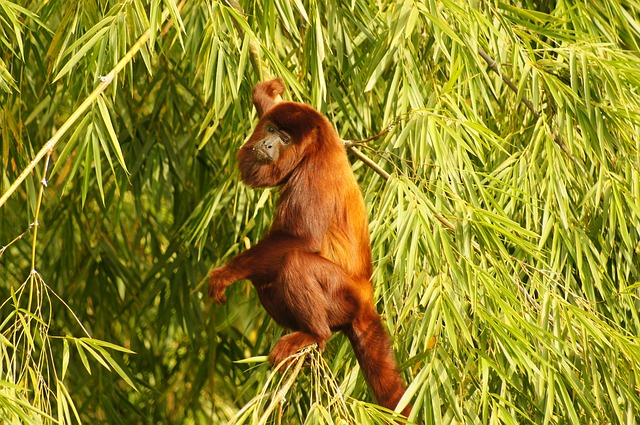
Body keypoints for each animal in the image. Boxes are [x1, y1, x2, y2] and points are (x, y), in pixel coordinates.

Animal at [210, 78, 410, 416]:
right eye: (271, 129)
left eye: (285, 139)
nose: (267, 144)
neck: (317, 146)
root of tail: (368, 300)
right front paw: (266, 92)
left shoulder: (315, 174)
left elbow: (301, 240)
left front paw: (225, 274)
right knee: (266, 278)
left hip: (344, 297)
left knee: (294, 262)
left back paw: (313, 334)